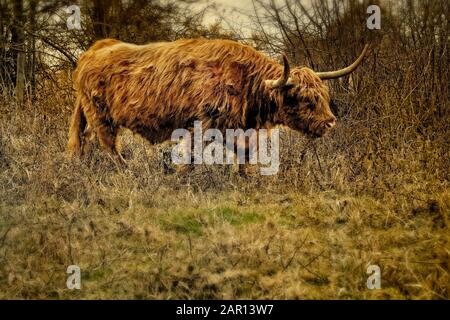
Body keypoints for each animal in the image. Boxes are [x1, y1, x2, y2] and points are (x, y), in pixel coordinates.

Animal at [68, 38, 368, 165]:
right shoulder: (200, 126)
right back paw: (127, 171)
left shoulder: (240, 130)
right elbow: (188, 158)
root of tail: (91, 51)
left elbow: (246, 159)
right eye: (304, 99)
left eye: (324, 96)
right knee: (110, 147)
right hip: (101, 117)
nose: (330, 123)